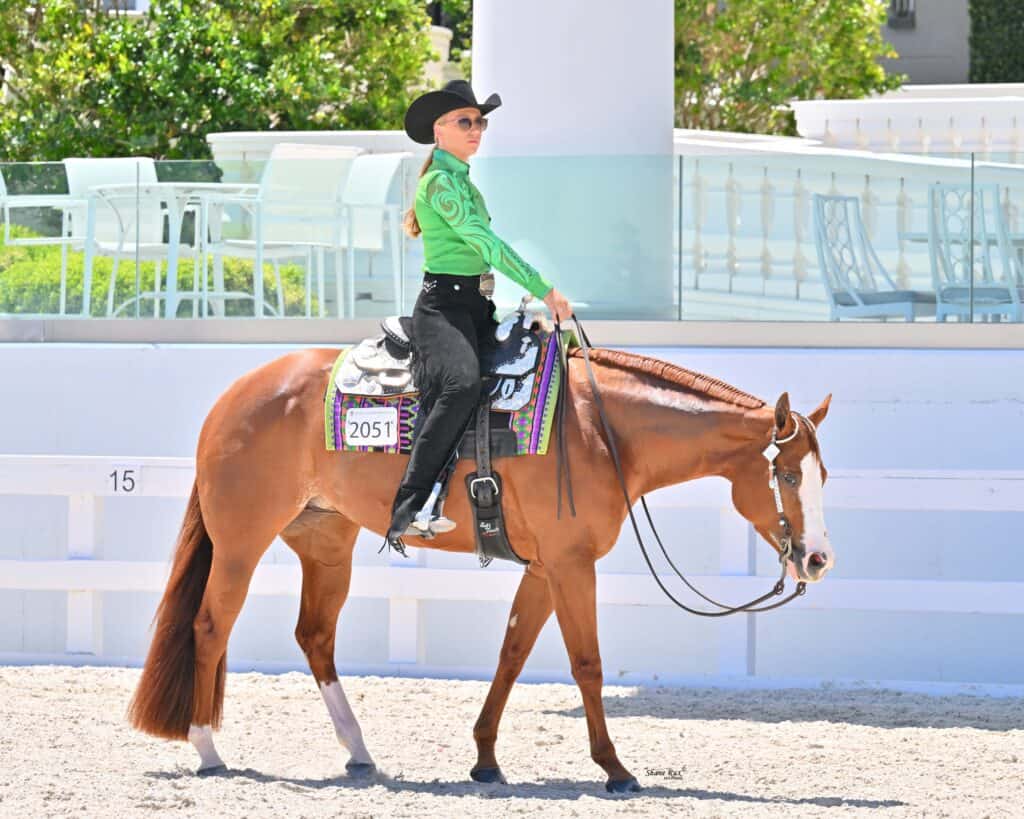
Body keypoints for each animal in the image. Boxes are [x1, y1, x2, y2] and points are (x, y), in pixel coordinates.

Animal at [127, 339, 833, 793]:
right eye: (788, 475)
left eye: (822, 474)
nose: (819, 559)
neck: (601, 432)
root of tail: (234, 397)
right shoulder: (571, 565)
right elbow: (586, 663)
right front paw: (614, 768)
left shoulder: (545, 568)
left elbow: (512, 654)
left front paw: (486, 759)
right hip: (241, 544)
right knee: (210, 627)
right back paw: (208, 749)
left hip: (326, 541)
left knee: (315, 636)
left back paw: (359, 752)